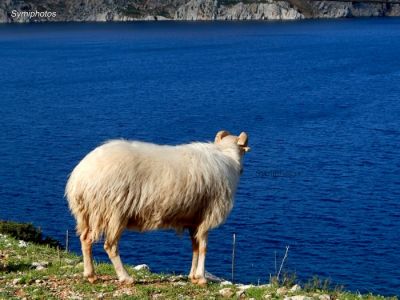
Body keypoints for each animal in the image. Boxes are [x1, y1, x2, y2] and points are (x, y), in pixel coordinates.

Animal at [64, 131, 248, 286]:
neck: (226, 156)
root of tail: (80, 177)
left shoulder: (193, 218)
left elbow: (195, 247)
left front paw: (193, 276)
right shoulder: (207, 215)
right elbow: (203, 247)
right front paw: (201, 278)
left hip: (88, 213)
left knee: (85, 239)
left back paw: (91, 275)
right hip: (113, 211)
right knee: (110, 246)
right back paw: (125, 278)